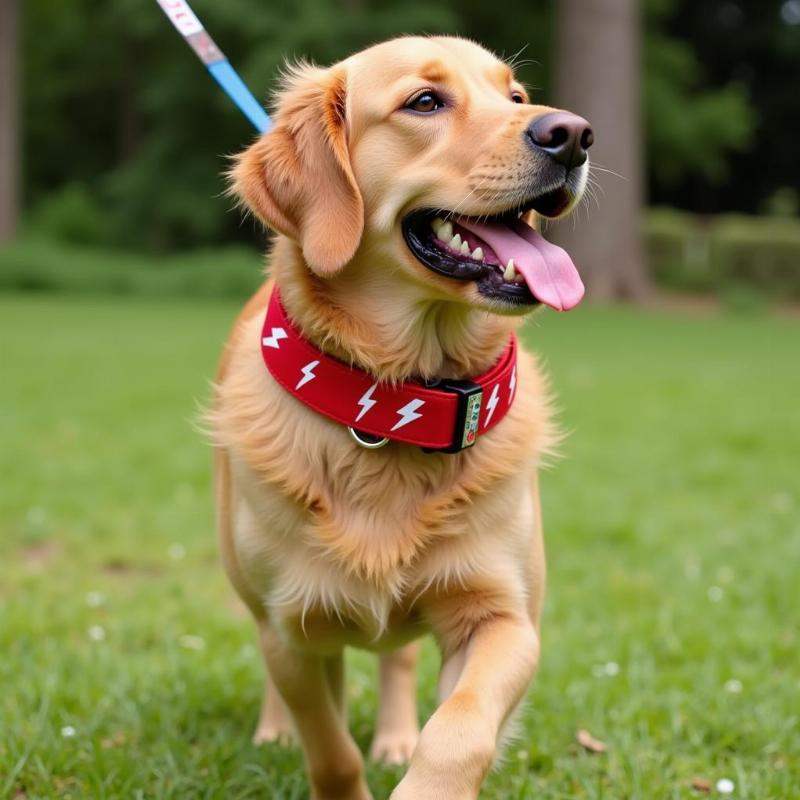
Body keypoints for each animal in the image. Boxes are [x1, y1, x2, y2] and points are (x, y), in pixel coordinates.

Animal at [209, 34, 592, 796]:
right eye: (424, 101)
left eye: (515, 96)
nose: (573, 134)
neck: (397, 403)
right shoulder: (291, 627)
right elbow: (328, 747)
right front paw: (323, 755)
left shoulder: (504, 618)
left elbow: (458, 731)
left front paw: (415, 768)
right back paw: (273, 732)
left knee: (397, 659)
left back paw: (393, 737)